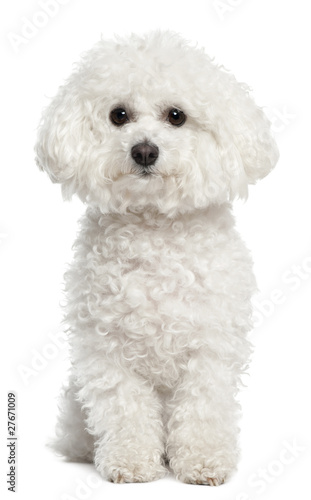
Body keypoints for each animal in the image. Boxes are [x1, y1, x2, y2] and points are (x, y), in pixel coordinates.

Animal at [35, 30, 280, 484]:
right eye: (118, 115)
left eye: (176, 116)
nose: (144, 151)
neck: (155, 229)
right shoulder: (106, 348)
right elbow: (124, 406)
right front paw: (130, 461)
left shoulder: (211, 346)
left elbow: (203, 406)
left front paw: (203, 460)